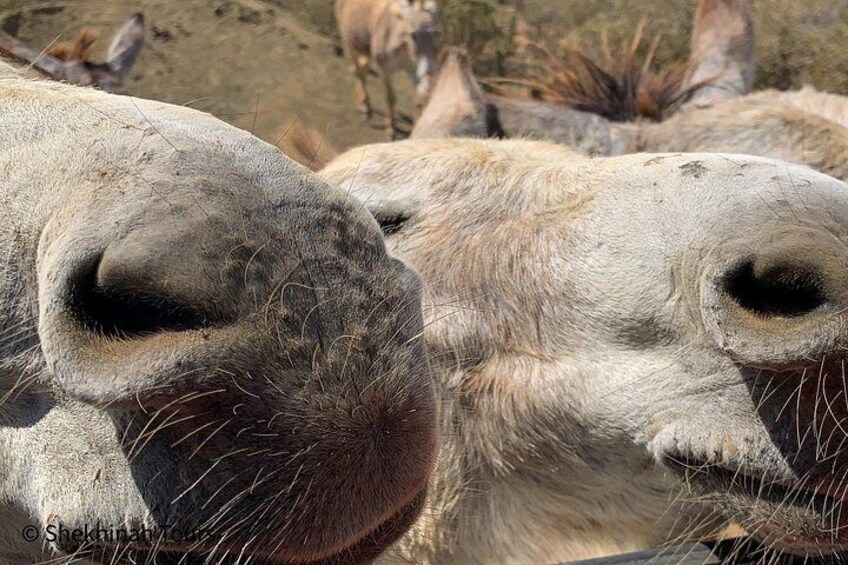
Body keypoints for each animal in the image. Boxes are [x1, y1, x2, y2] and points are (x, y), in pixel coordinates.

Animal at [335, 0, 439, 136]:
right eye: (412, 34)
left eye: (436, 34)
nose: (431, 74)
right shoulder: (384, 69)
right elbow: (390, 98)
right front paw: (390, 128)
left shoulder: (411, 68)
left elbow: (421, 100)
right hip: (349, 41)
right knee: (358, 73)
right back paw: (364, 108)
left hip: (365, 48)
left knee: (362, 69)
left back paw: (363, 104)